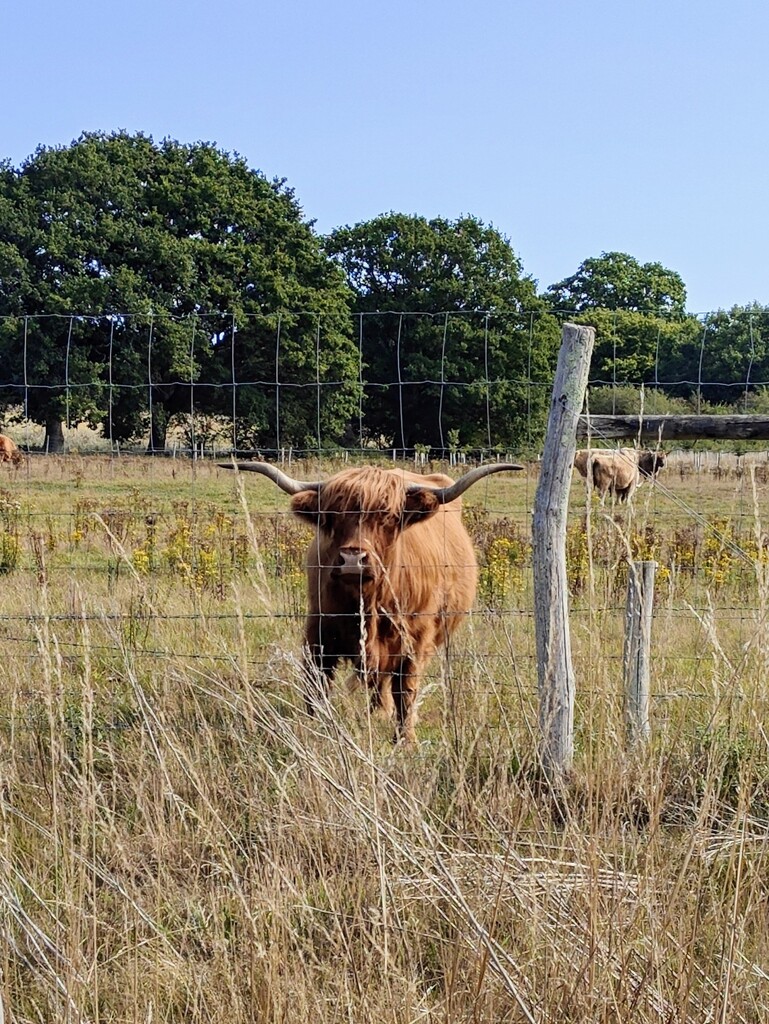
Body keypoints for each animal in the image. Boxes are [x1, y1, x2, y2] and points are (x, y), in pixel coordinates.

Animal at [220, 460, 523, 744]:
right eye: (332, 517)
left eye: (388, 517)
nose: (353, 559)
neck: (367, 602)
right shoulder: (318, 630)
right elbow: (316, 683)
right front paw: (315, 730)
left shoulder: (415, 638)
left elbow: (406, 689)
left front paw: (406, 740)